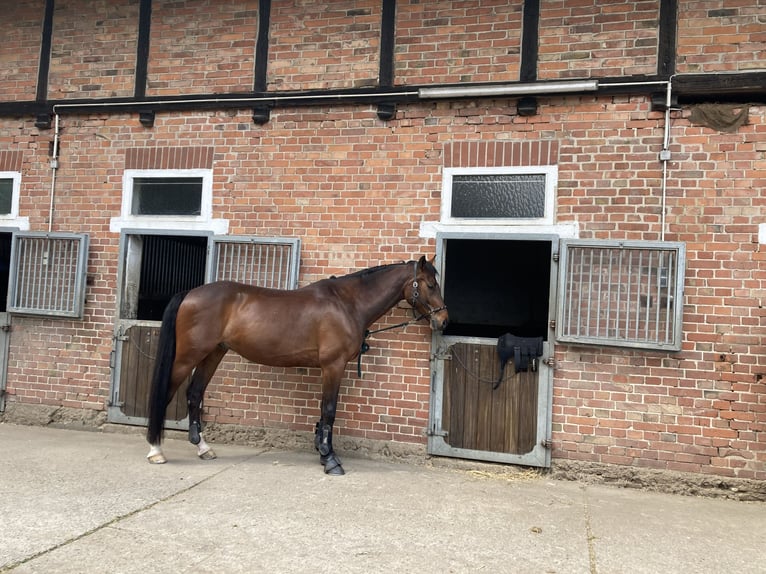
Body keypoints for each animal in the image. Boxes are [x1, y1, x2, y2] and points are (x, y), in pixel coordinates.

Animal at [146, 256, 450, 476]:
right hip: (187, 356)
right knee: (166, 394)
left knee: (194, 393)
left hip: (213, 354)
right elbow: (329, 411)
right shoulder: (333, 366)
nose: (444, 320)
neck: (347, 303)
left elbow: (323, 413)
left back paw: (203, 448)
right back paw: (155, 450)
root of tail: (190, 294)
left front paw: (322, 452)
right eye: (430, 285)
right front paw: (330, 460)